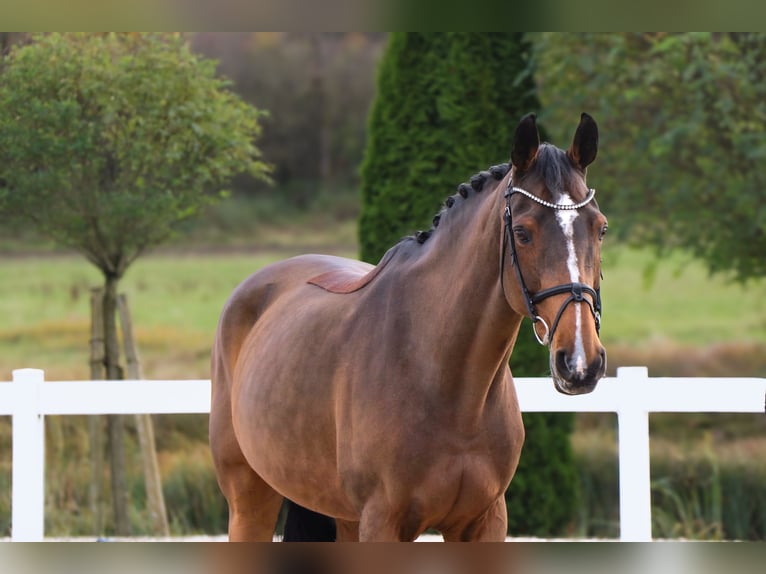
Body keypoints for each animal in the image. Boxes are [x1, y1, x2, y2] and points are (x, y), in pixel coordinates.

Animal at [209, 113, 608, 542]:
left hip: (342, 516)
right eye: (522, 232)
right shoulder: (382, 522)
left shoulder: (485, 520)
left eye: (600, 228)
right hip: (250, 497)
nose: (580, 362)